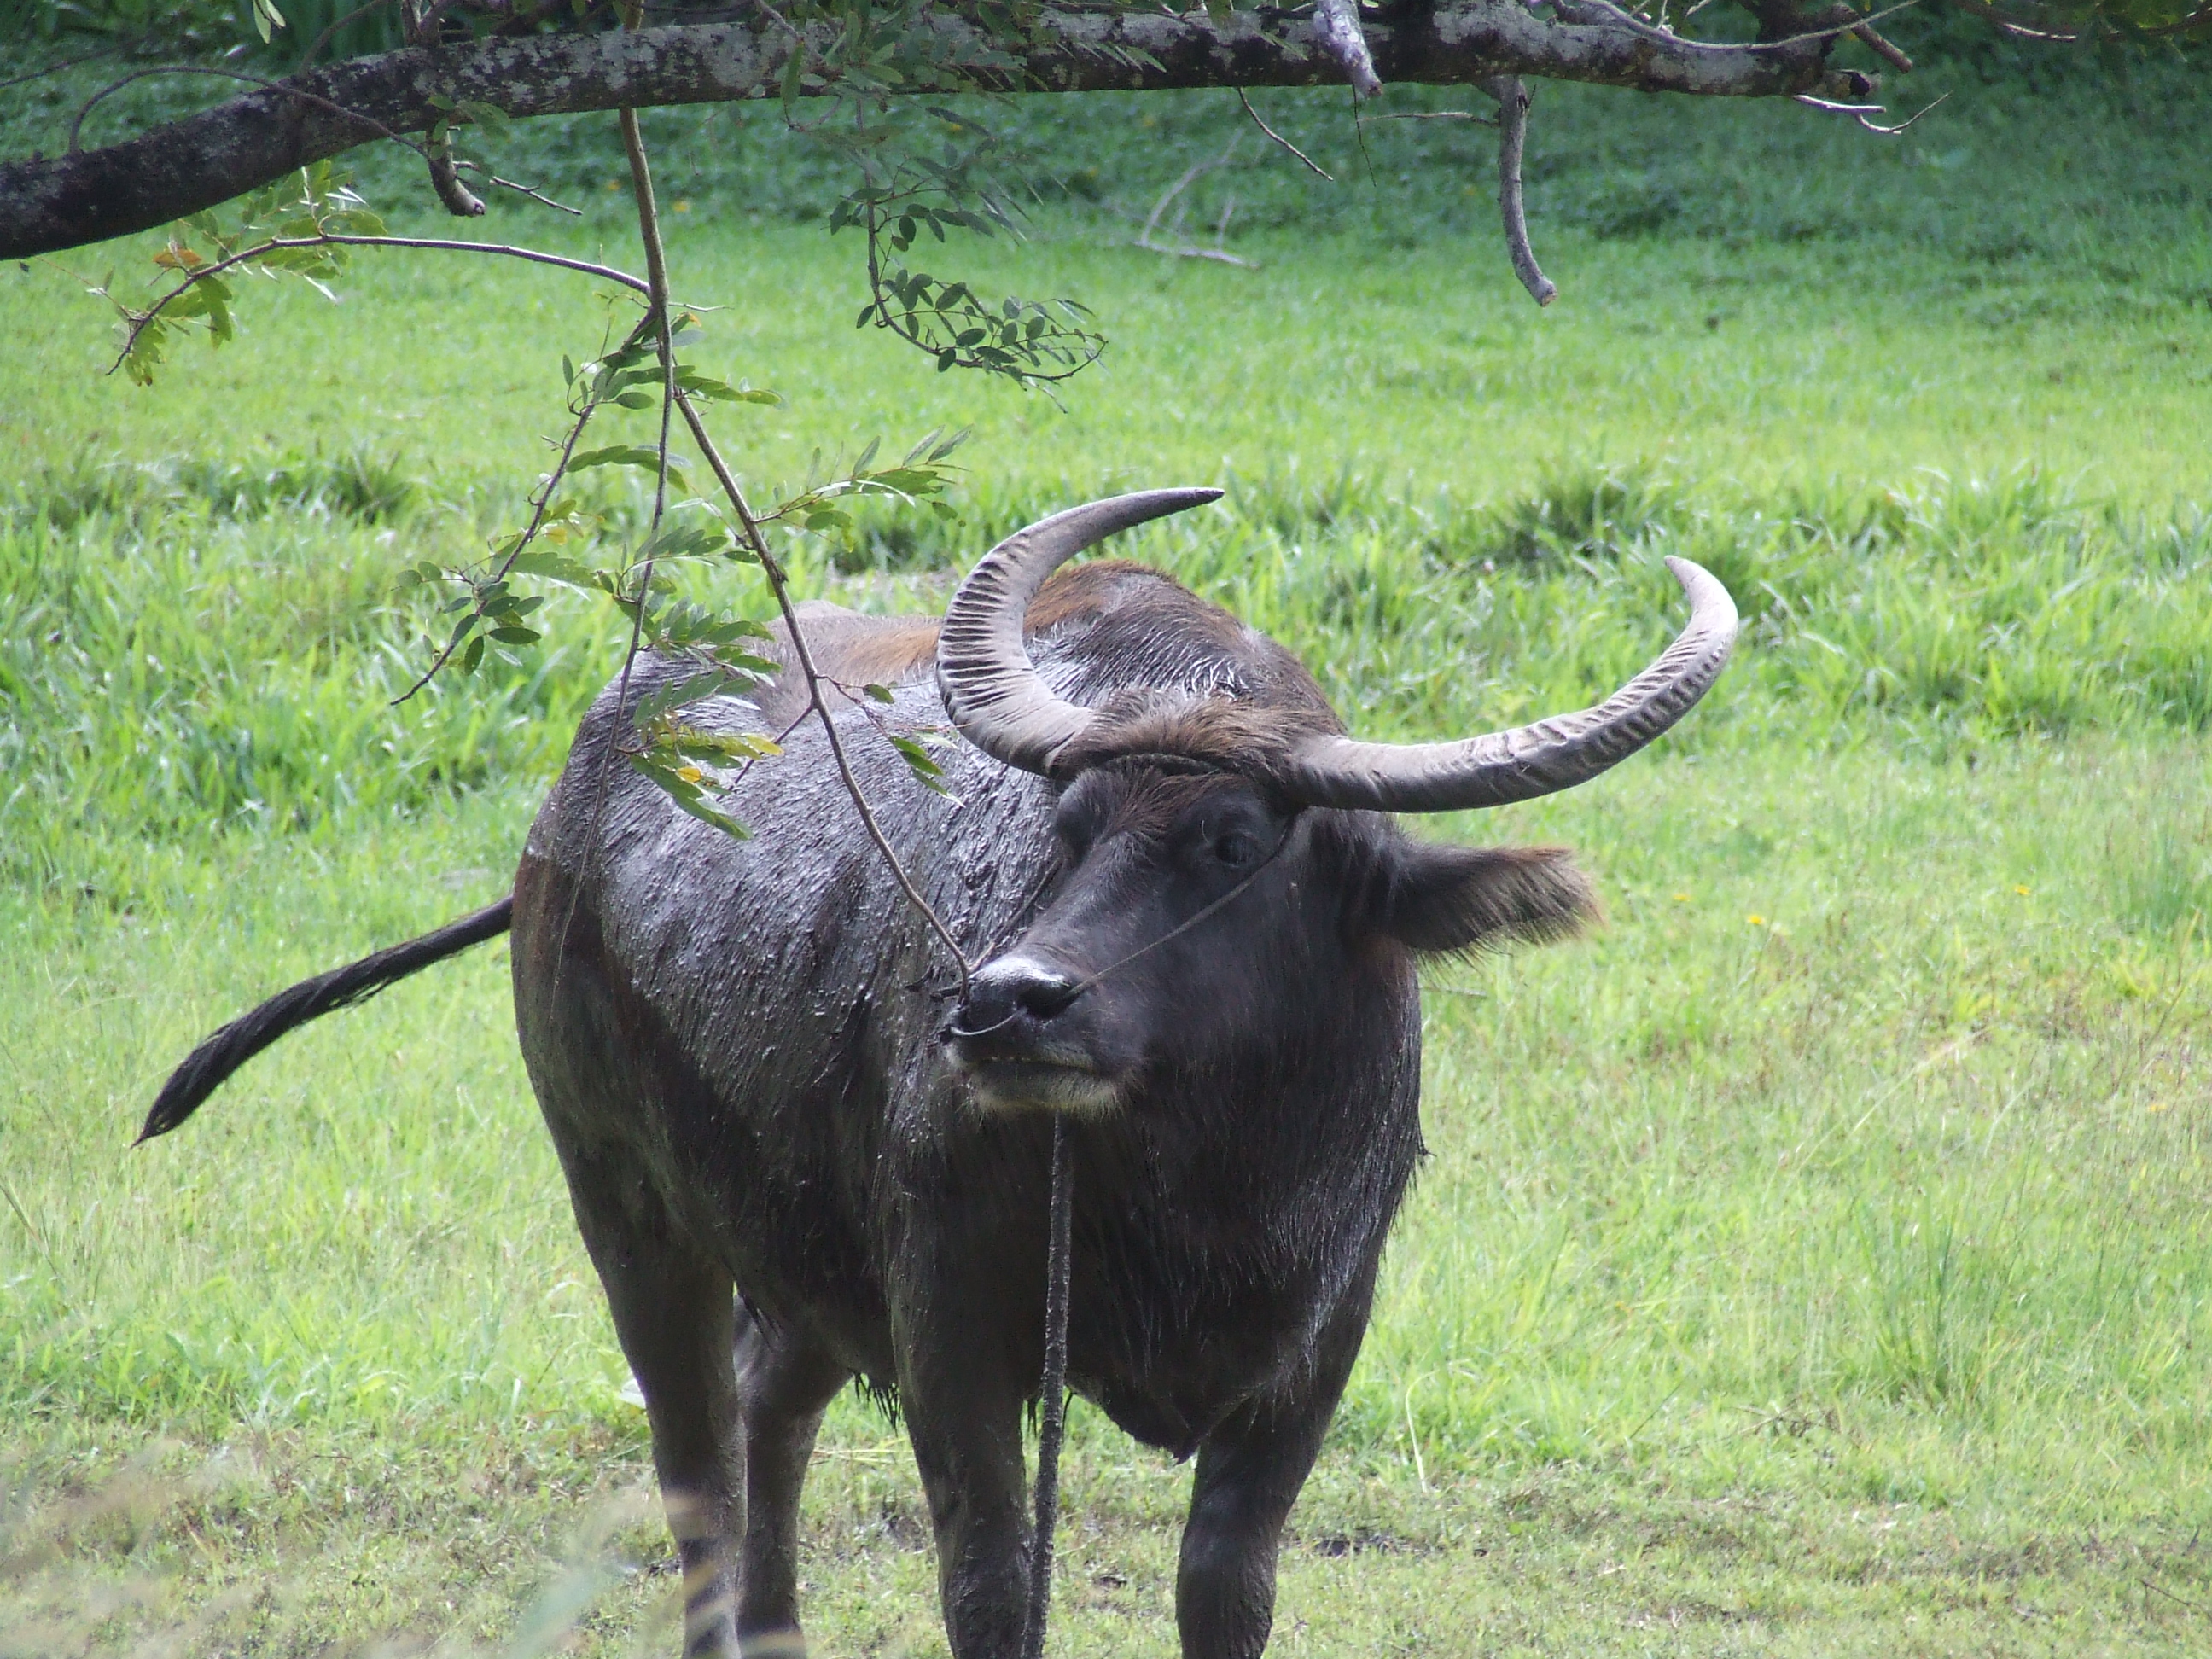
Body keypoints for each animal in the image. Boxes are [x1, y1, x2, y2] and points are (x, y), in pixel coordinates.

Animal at [147, 486, 1734, 1654]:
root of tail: (565, 809)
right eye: (1071, 827)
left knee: (767, 1405)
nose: (1005, 1004)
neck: (1200, 1185)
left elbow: (1226, 1588)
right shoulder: (951, 1324)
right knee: (696, 1459)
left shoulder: (1310, 1353)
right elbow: (991, 1579)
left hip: (803, 1252)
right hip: (627, 1210)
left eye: (1232, 840)